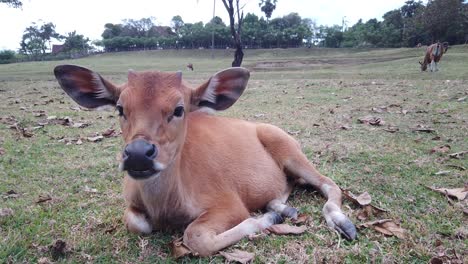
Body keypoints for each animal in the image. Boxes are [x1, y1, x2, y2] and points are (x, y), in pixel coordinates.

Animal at [53, 64, 356, 256]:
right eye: (120, 108)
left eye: (179, 109)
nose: (138, 154)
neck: (169, 205)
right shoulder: (132, 207)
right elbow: (138, 224)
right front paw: (274, 214)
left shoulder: (228, 203)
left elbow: (196, 237)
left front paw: (264, 220)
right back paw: (283, 209)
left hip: (290, 149)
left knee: (329, 184)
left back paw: (340, 222)